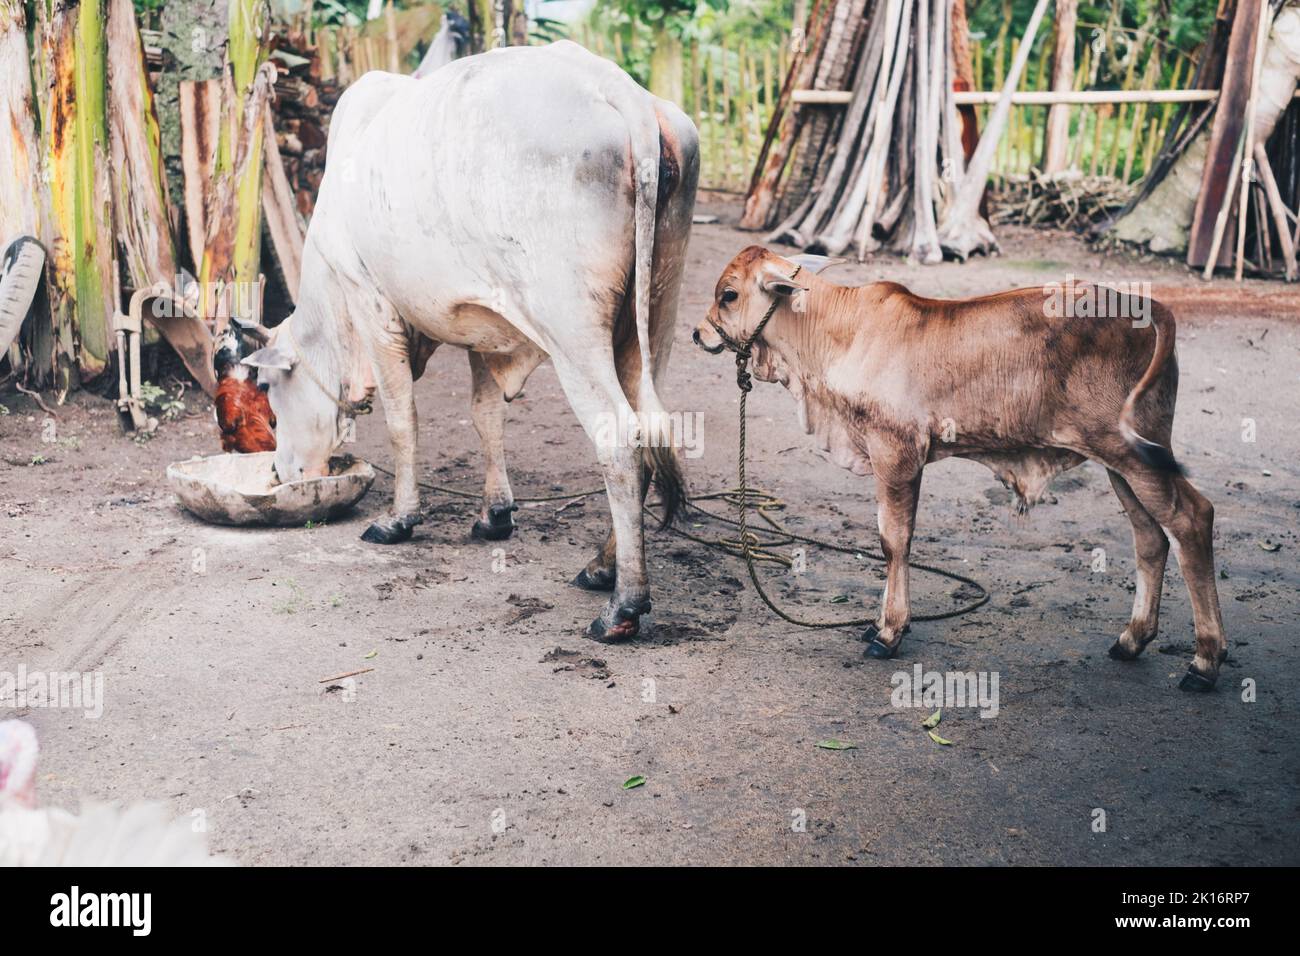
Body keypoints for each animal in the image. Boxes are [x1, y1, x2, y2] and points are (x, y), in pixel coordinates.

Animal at [242, 42, 700, 641]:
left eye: (271, 395)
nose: (281, 473)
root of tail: (624, 92)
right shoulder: (488, 329)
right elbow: (486, 416)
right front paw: (495, 513)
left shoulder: (372, 302)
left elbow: (402, 420)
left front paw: (398, 519)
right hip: (654, 316)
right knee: (648, 429)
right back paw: (602, 567)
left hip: (573, 330)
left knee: (620, 439)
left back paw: (623, 606)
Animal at [693, 246, 1227, 691]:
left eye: (729, 294)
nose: (698, 334)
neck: (837, 334)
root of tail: (1145, 305)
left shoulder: (896, 453)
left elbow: (893, 541)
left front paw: (888, 632)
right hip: (1121, 460)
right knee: (1150, 538)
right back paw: (1132, 639)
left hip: (1132, 454)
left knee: (1192, 519)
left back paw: (1204, 663)